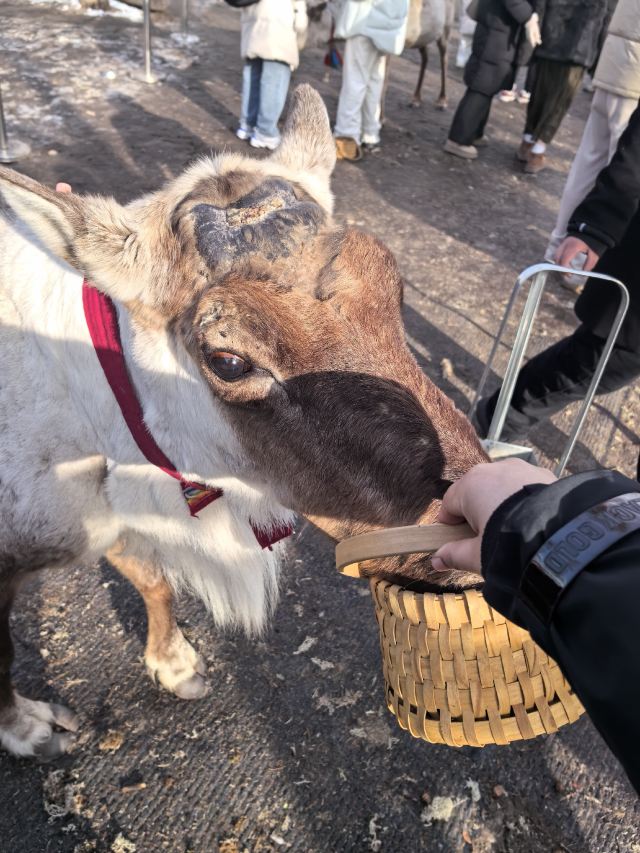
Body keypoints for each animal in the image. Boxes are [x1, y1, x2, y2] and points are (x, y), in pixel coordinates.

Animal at [0, 85, 486, 761]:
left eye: (393, 284)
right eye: (229, 360)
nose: (466, 545)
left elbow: (155, 580)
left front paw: (175, 664)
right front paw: (28, 728)